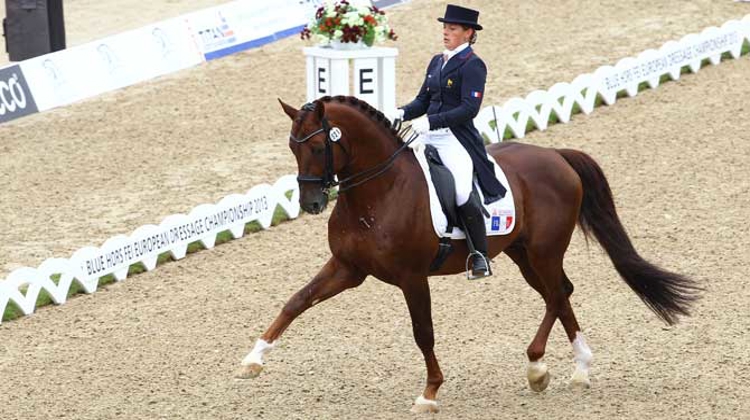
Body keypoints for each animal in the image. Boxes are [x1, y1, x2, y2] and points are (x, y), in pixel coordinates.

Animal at [238, 96, 704, 414]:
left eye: (319, 147)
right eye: (292, 147)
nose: (312, 203)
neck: (378, 193)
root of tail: (556, 156)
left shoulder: (412, 278)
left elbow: (423, 333)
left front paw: (429, 394)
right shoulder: (349, 268)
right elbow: (296, 301)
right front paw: (252, 360)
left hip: (544, 251)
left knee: (558, 294)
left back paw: (539, 367)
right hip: (521, 253)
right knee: (560, 294)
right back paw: (576, 368)